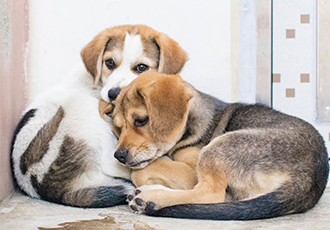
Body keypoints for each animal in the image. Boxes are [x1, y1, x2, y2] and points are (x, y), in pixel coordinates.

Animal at [10, 24, 188, 208]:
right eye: (109, 62)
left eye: (141, 67)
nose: (114, 94)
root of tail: (48, 186)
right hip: (85, 108)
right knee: (115, 164)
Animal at [105, 71, 328, 219]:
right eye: (118, 128)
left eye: (141, 120)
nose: (119, 156)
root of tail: (310, 179)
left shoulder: (190, 171)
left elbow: (141, 171)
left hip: (220, 146)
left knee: (211, 194)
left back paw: (151, 197)